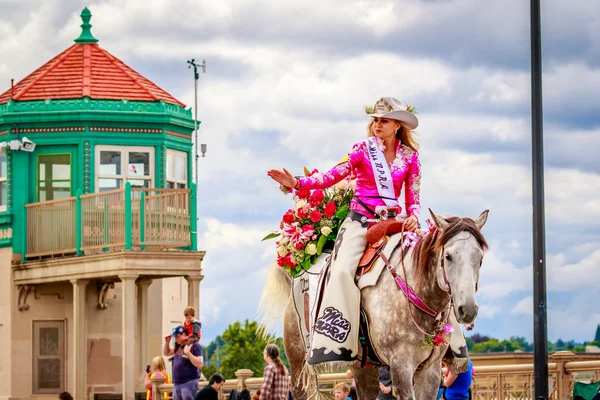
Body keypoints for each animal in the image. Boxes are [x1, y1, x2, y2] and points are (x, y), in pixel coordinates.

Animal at [258, 209, 488, 400]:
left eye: (480, 258)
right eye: (448, 256)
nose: (468, 309)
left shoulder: (430, 371)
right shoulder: (401, 365)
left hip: (363, 365)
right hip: (297, 362)